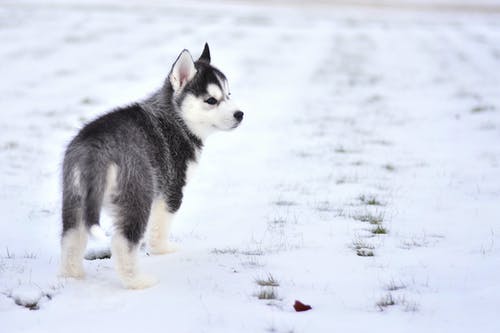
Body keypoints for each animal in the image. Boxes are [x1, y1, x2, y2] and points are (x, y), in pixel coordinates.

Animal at [59, 44, 243, 288]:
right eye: (211, 100)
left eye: (228, 94)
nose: (240, 114)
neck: (176, 119)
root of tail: (96, 149)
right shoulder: (172, 188)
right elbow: (160, 226)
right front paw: (162, 250)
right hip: (137, 194)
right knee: (122, 242)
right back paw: (137, 282)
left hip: (75, 196)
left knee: (71, 238)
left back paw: (72, 277)